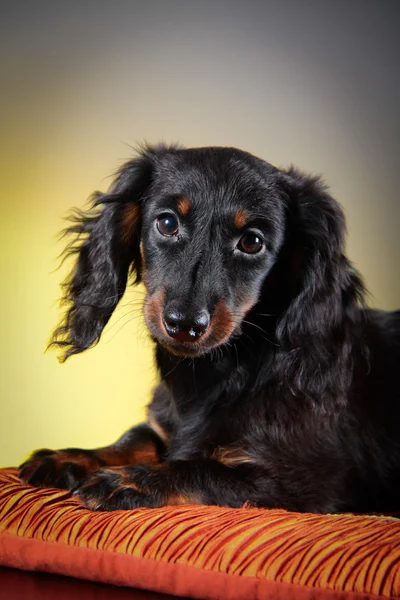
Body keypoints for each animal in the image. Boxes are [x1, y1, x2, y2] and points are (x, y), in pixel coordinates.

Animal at [19, 144, 400, 510]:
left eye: (252, 242)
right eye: (167, 222)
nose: (184, 324)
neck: (210, 374)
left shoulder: (300, 482)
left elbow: (198, 468)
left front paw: (130, 480)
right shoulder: (160, 429)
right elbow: (135, 438)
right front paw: (70, 457)